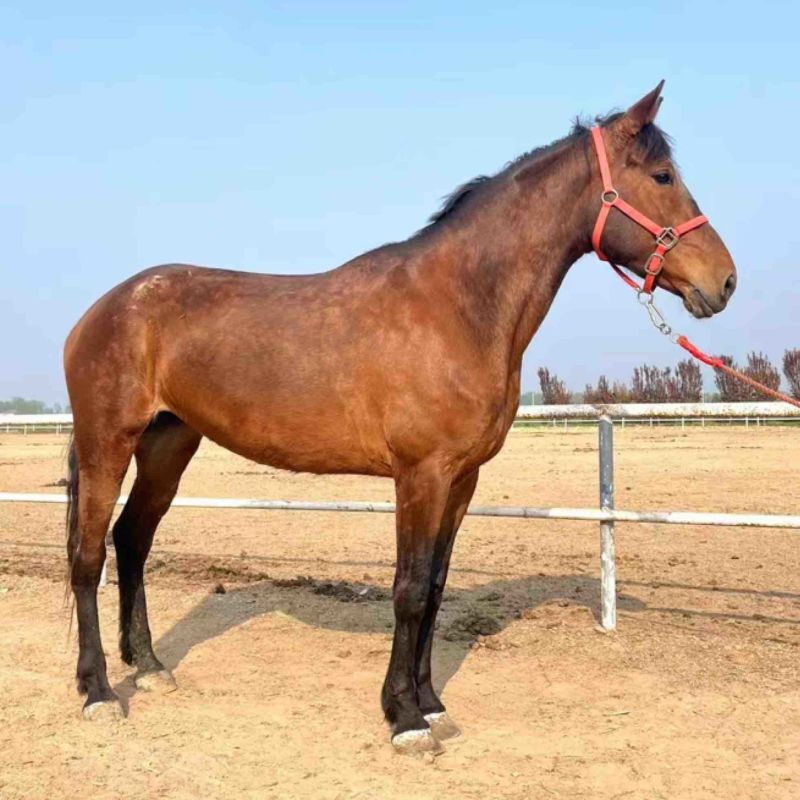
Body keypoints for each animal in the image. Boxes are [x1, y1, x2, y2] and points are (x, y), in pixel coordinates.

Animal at [64, 82, 736, 755]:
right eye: (663, 175)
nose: (724, 281)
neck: (457, 306)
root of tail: (104, 309)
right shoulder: (421, 475)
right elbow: (409, 591)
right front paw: (404, 718)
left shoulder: (461, 480)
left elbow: (435, 587)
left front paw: (431, 703)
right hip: (108, 443)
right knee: (89, 556)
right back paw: (99, 692)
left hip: (168, 445)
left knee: (133, 540)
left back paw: (149, 667)